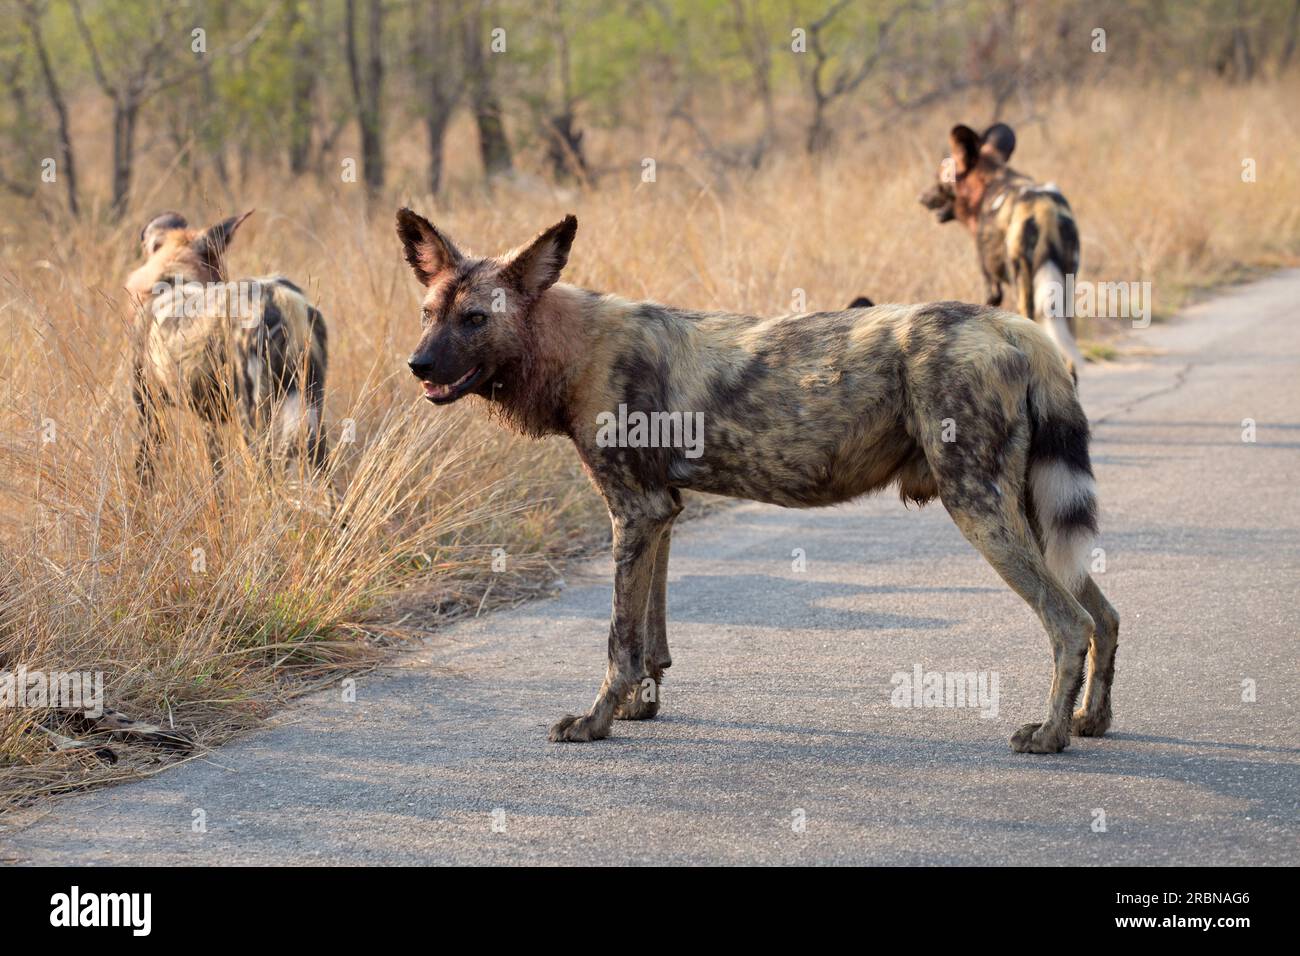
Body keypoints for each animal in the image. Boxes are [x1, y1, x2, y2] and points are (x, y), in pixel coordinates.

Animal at [124, 209, 330, 478]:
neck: (174, 279)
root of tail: (278, 298)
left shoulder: (149, 412)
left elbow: (142, 473)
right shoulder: (208, 420)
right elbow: (216, 473)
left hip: (253, 425)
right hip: (312, 415)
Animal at [392, 209, 1118, 754]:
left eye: (476, 319)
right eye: (427, 311)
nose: (417, 364)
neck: (572, 346)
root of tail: (1014, 326)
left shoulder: (635, 510)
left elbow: (618, 640)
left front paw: (595, 722)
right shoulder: (660, 513)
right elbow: (651, 634)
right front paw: (638, 707)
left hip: (977, 506)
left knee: (1069, 621)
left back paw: (1050, 736)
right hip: (1028, 511)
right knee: (1104, 615)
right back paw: (1091, 721)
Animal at [920, 120, 1092, 374]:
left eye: (940, 179)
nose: (922, 197)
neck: (989, 181)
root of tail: (1045, 209)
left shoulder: (991, 284)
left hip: (1024, 286)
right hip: (1066, 291)